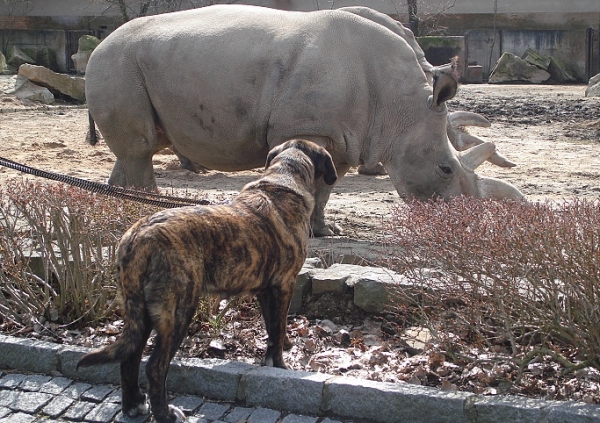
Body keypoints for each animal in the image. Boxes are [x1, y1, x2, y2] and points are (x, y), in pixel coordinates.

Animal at [76, 140, 338, 423]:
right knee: (155, 367)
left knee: (130, 358)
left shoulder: (265, 290)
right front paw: (280, 366)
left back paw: (134, 405)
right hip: (177, 313)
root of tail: (139, 236)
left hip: (140, 312)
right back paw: (166, 414)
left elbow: (272, 328)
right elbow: (277, 330)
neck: (283, 179)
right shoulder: (284, 285)